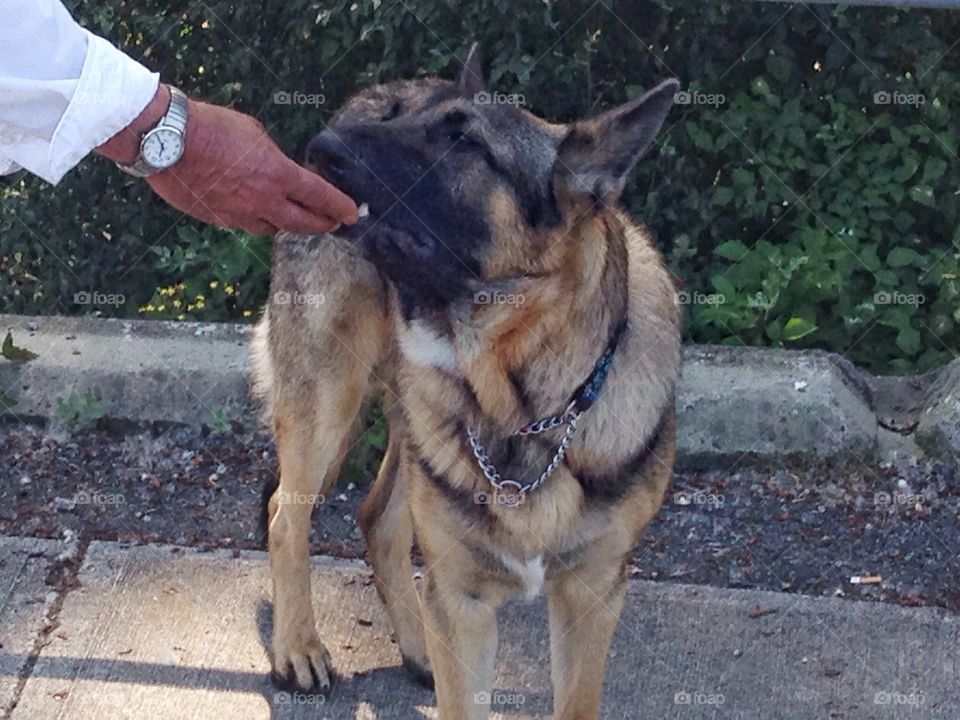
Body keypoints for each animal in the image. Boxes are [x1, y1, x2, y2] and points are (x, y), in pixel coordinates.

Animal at [251, 46, 680, 720]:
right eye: (405, 121)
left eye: (464, 142)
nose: (320, 150)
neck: (525, 410)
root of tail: (361, 97)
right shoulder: (464, 604)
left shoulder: (590, 599)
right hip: (327, 400)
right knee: (284, 515)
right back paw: (298, 647)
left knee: (377, 520)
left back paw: (413, 645)